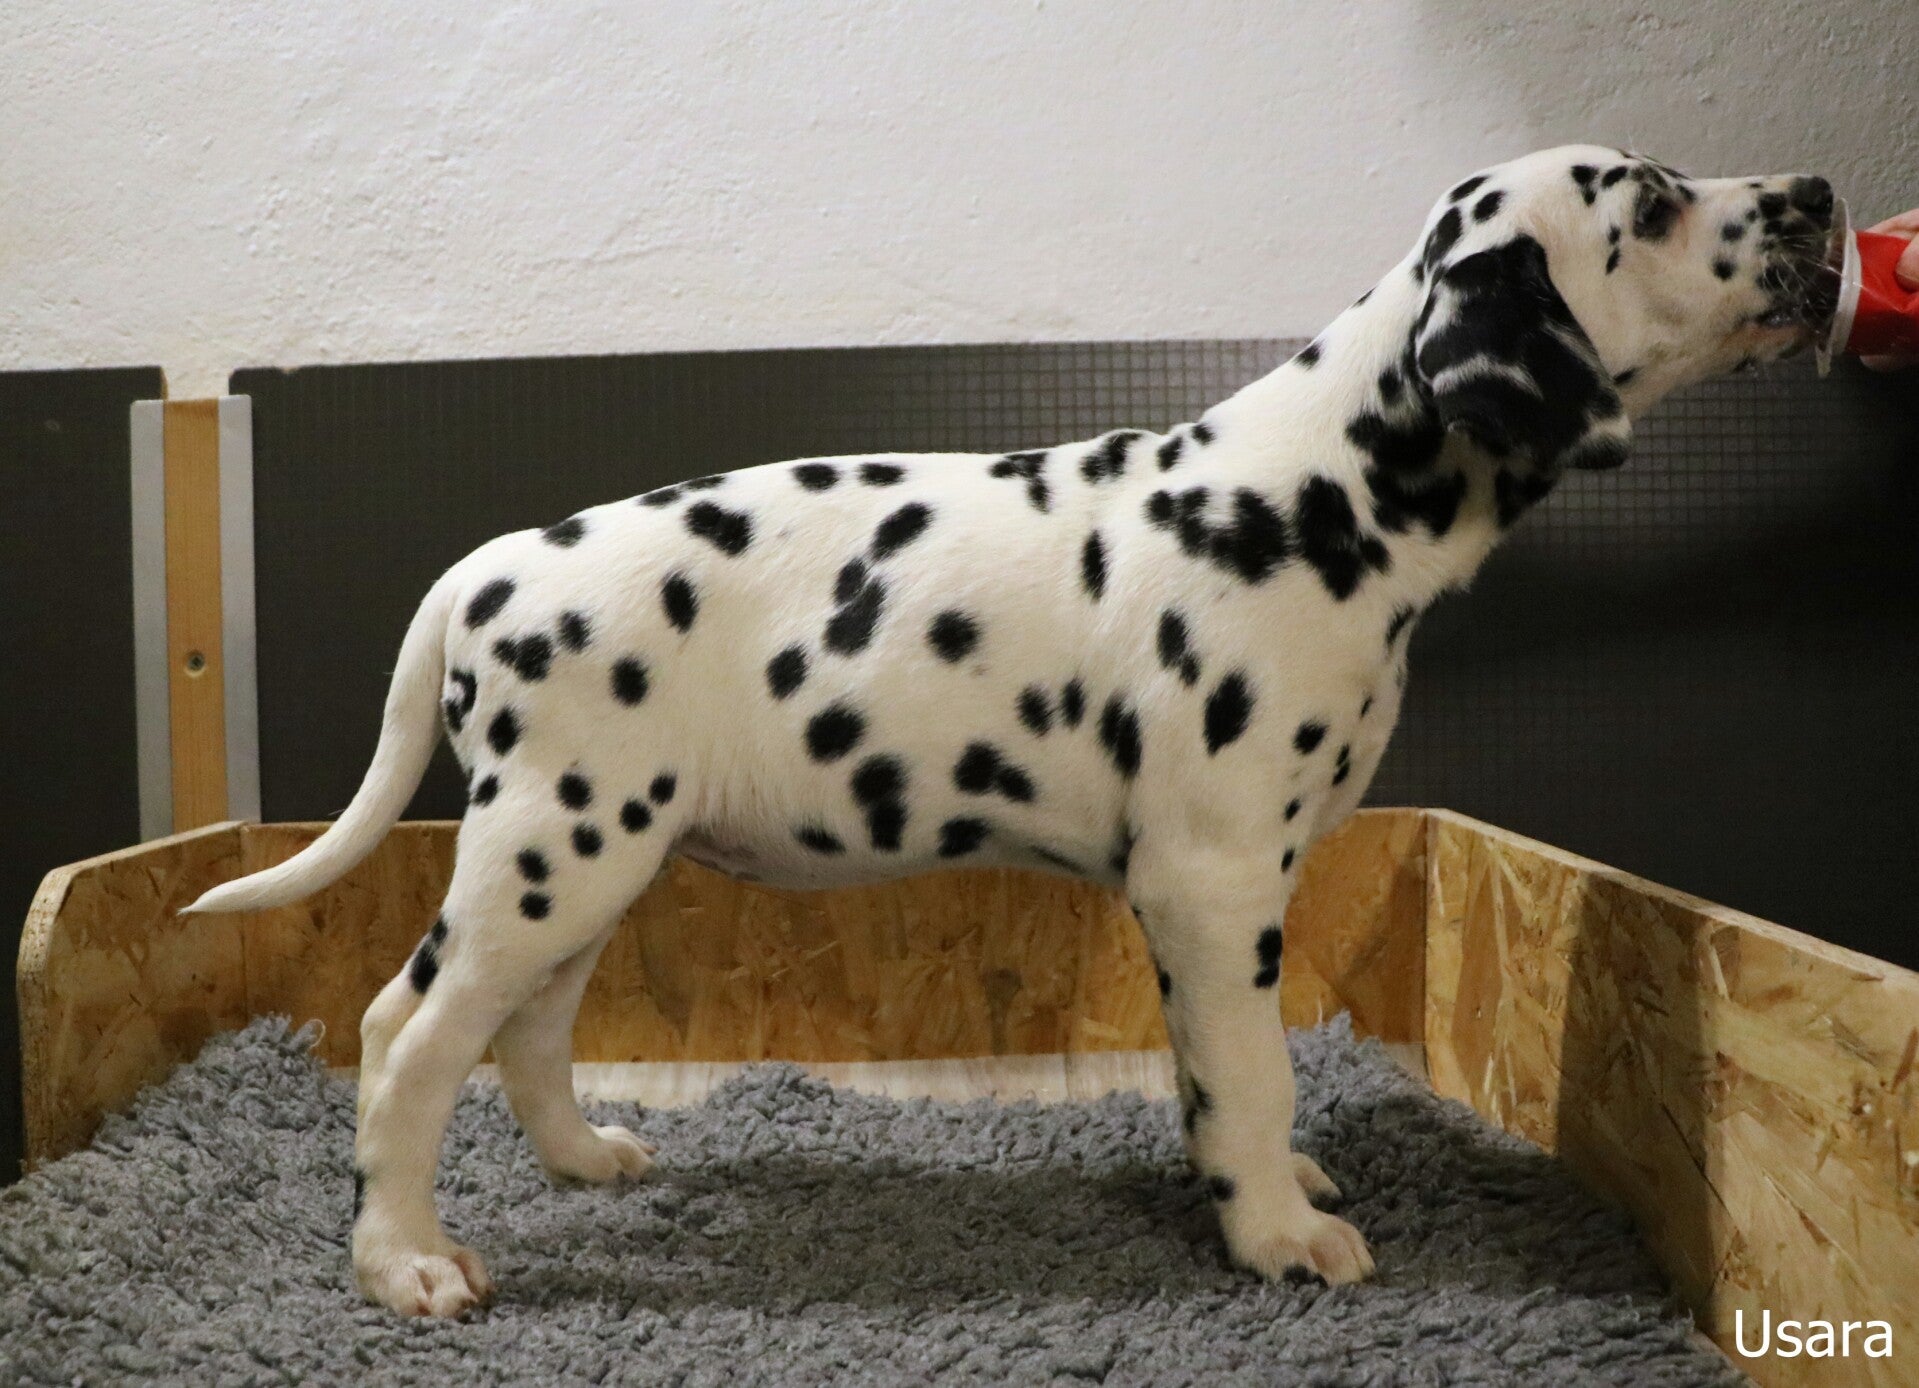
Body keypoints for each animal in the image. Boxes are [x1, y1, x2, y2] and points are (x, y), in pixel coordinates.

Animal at [184, 145, 1836, 1316]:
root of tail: (491, 567)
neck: (1320, 493)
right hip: (551, 852)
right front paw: (1276, 1233)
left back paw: (584, 1159)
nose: (1818, 198)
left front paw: (1257, 1187)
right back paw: (402, 1260)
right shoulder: (1213, 880)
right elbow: (1252, 1068)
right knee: (404, 1040)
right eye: (1653, 199)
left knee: (517, 1029)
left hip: (593, 864)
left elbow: (1217, 1078)